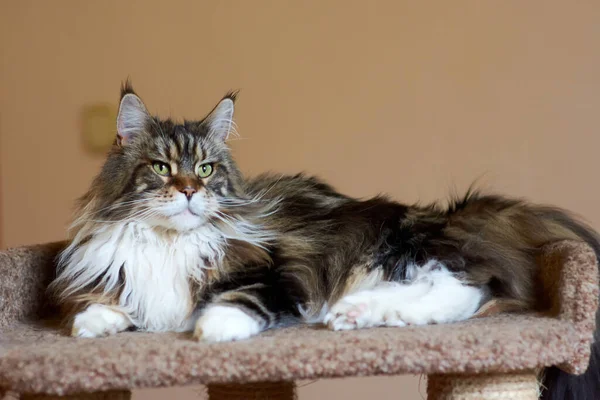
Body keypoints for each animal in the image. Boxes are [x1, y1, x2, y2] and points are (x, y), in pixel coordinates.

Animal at [52, 83, 600, 398]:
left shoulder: (272, 273)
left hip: (396, 252)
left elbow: (236, 301)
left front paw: (214, 328)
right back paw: (354, 314)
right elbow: (114, 303)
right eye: (162, 168)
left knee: (464, 290)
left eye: (206, 170)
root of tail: (454, 215)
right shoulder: (126, 277)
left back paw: (354, 314)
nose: (189, 191)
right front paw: (91, 325)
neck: (170, 242)